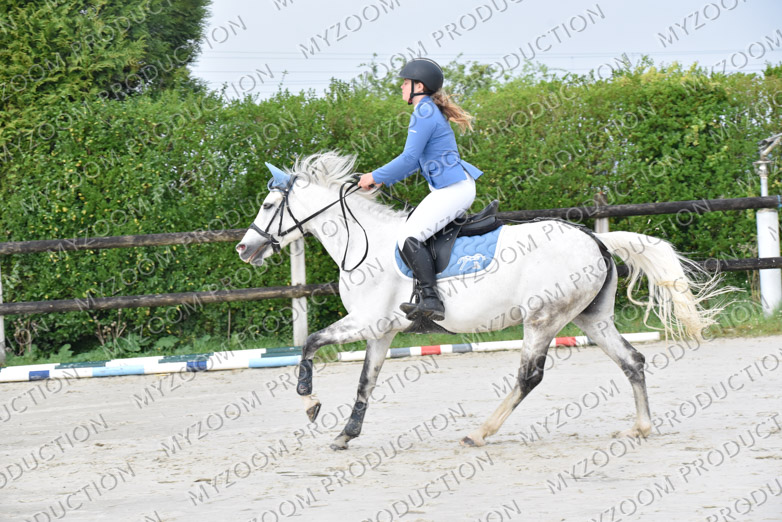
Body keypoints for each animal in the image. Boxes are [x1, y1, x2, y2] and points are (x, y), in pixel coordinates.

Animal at [235, 152, 726, 450]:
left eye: (267, 206)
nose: (244, 249)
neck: (363, 242)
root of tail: (595, 238)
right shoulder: (382, 331)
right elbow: (365, 383)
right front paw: (345, 434)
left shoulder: (366, 321)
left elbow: (310, 343)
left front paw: (310, 404)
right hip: (591, 319)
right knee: (632, 361)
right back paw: (641, 426)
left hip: (542, 320)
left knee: (529, 377)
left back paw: (479, 432)